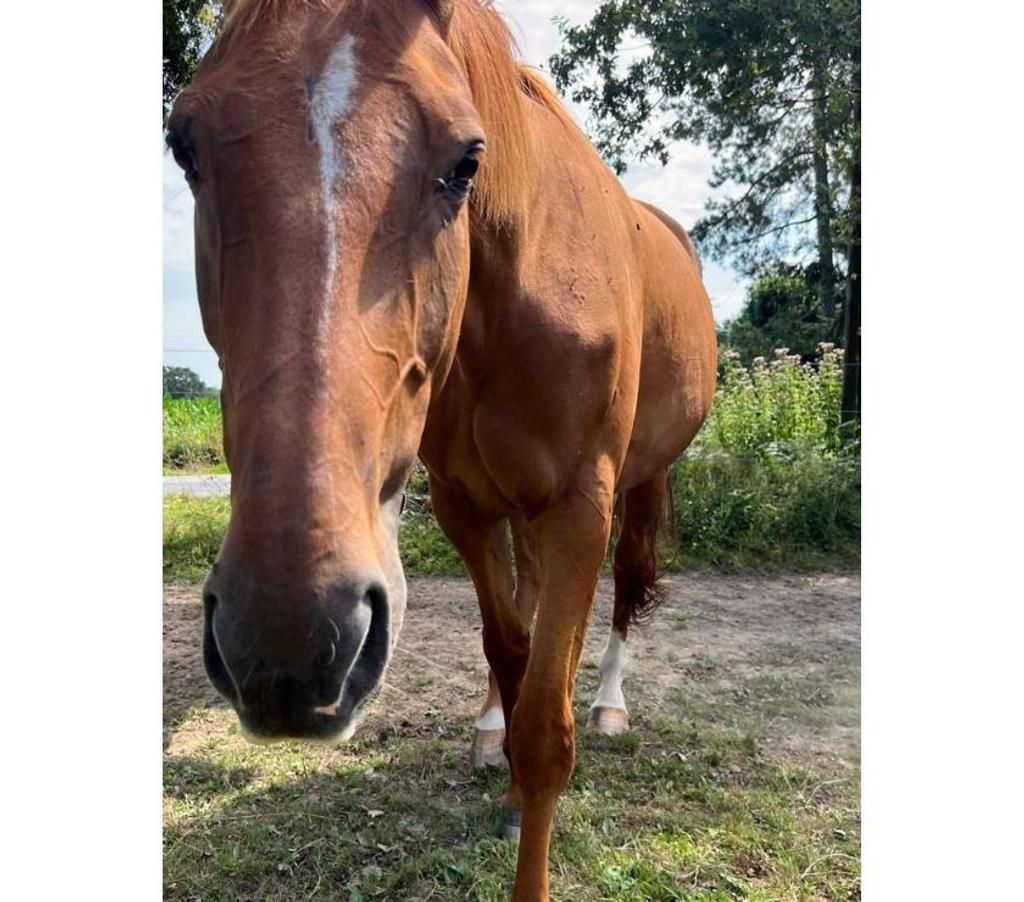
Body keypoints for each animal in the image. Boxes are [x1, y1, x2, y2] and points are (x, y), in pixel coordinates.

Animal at [166, 2, 716, 899]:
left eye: (466, 161)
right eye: (184, 146)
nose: (287, 643)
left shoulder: (581, 505)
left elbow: (547, 729)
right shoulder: (463, 505)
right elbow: (510, 653)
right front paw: (505, 765)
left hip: (643, 483)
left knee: (630, 589)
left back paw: (609, 704)